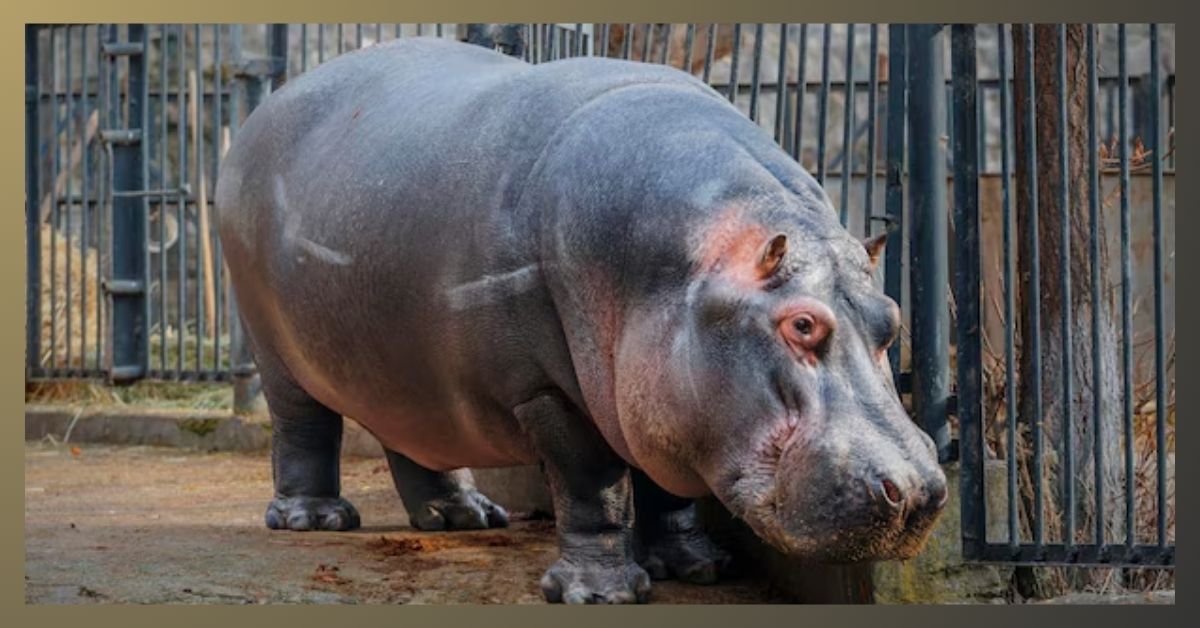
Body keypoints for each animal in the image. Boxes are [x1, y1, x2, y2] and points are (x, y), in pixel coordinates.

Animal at [215, 37, 947, 604]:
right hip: (275, 349)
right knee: (303, 426)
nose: (916, 492)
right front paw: (603, 592)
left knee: (414, 435)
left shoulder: (651, 392)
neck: (692, 263)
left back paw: (466, 518)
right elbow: (594, 484)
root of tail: (267, 107)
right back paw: (315, 520)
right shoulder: (547, 389)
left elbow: (662, 485)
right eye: (801, 325)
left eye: (892, 319)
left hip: (407, 369)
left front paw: (696, 569)